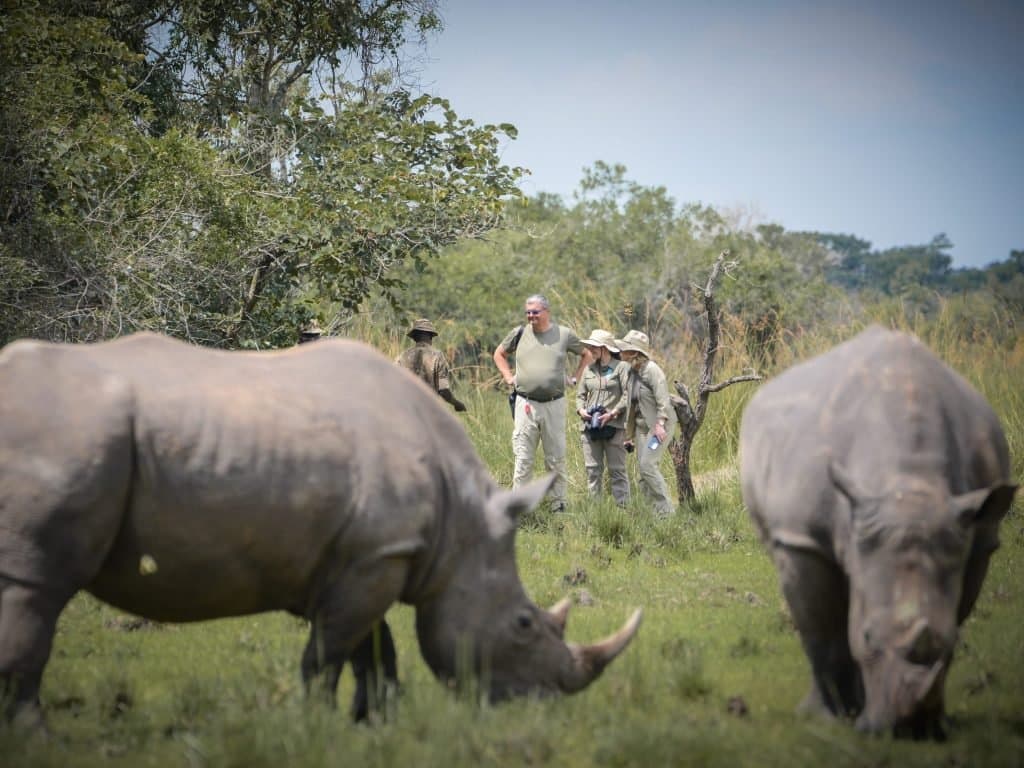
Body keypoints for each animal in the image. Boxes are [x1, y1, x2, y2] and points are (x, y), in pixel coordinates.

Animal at [0, 332, 641, 726]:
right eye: (524, 625)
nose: (543, 704)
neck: (463, 529)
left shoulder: (371, 555)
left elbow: (373, 650)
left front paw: (374, 723)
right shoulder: (376, 556)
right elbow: (328, 655)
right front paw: (316, 725)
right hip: (70, 429)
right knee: (36, 589)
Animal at [739, 326, 1016, 739]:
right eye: (868, 636)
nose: (906, 731)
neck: (909, 484)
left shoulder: (977, 539)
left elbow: (953, 612)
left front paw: (937, 721)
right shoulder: (803, 540)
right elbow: (824, 632)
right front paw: (829, 718)